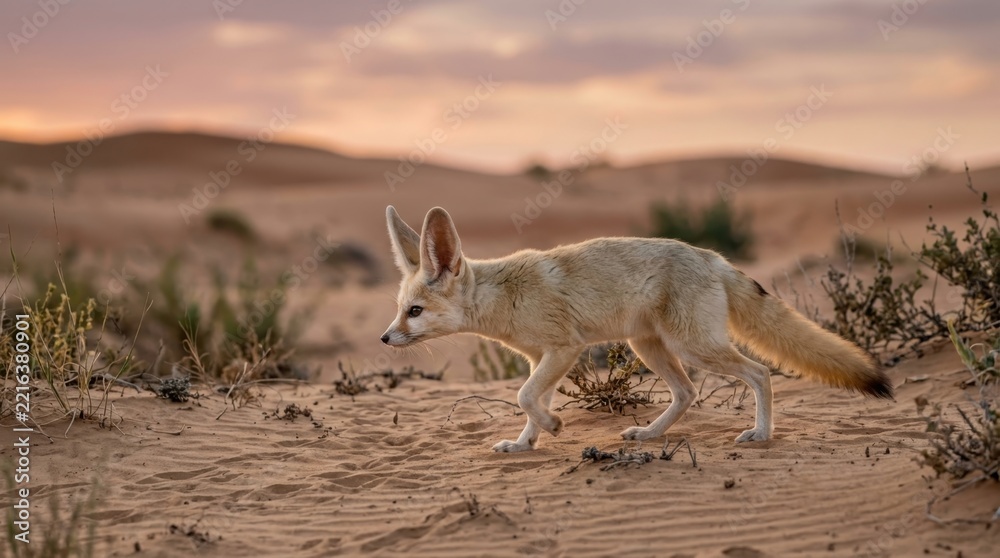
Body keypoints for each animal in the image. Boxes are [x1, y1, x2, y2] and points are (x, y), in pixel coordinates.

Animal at [380, 205, 893, 453]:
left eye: (415, 312)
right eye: (401, 309)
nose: (384, 339)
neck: (504, 295)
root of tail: (713, 257)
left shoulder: (562, 350)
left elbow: (525, 397)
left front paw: (554, 426)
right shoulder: (541, 358)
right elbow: (529, 402)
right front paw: (525, 443)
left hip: (694, 347)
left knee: (761, 373)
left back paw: (761, 435)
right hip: (650, 347)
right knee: (687, 393)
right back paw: (648, 435)